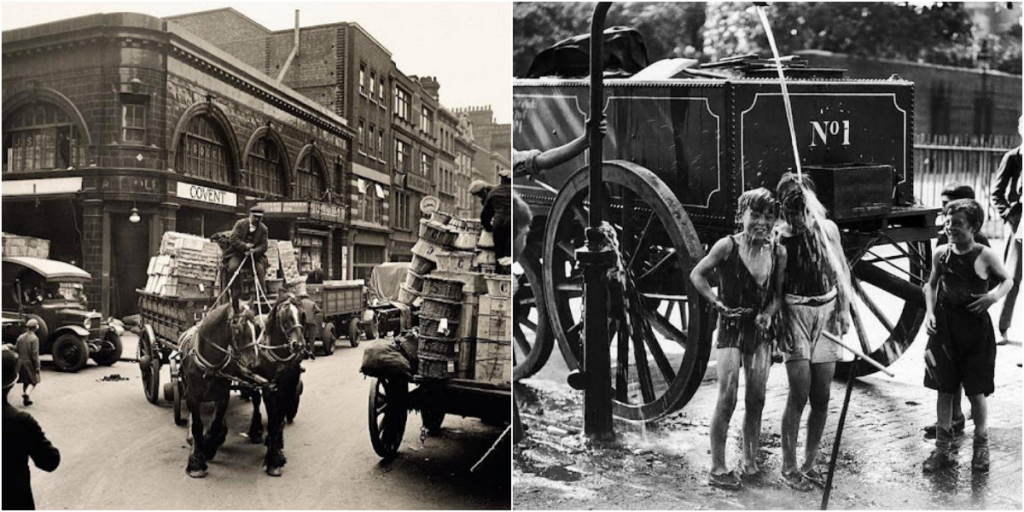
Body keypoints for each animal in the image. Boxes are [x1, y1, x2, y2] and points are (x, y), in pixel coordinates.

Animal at [180, 301, 262, 477]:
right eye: (237, 328)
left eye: (257, 328)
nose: (255, 364)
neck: (210, 366)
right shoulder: (192, 397)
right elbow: (197, 426)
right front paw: (196, 461)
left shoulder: (223, 396)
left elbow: (216, 422)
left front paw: (210, 446)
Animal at [243, 294, 303, 477]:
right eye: (285, 317)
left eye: (302, 314)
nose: (299, 345)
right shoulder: (268, 388)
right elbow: (272, 420)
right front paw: (273, 460)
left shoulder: (288, 387)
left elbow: (278, 417)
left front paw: (277, 449)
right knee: (256, 401)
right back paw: (256, 430)